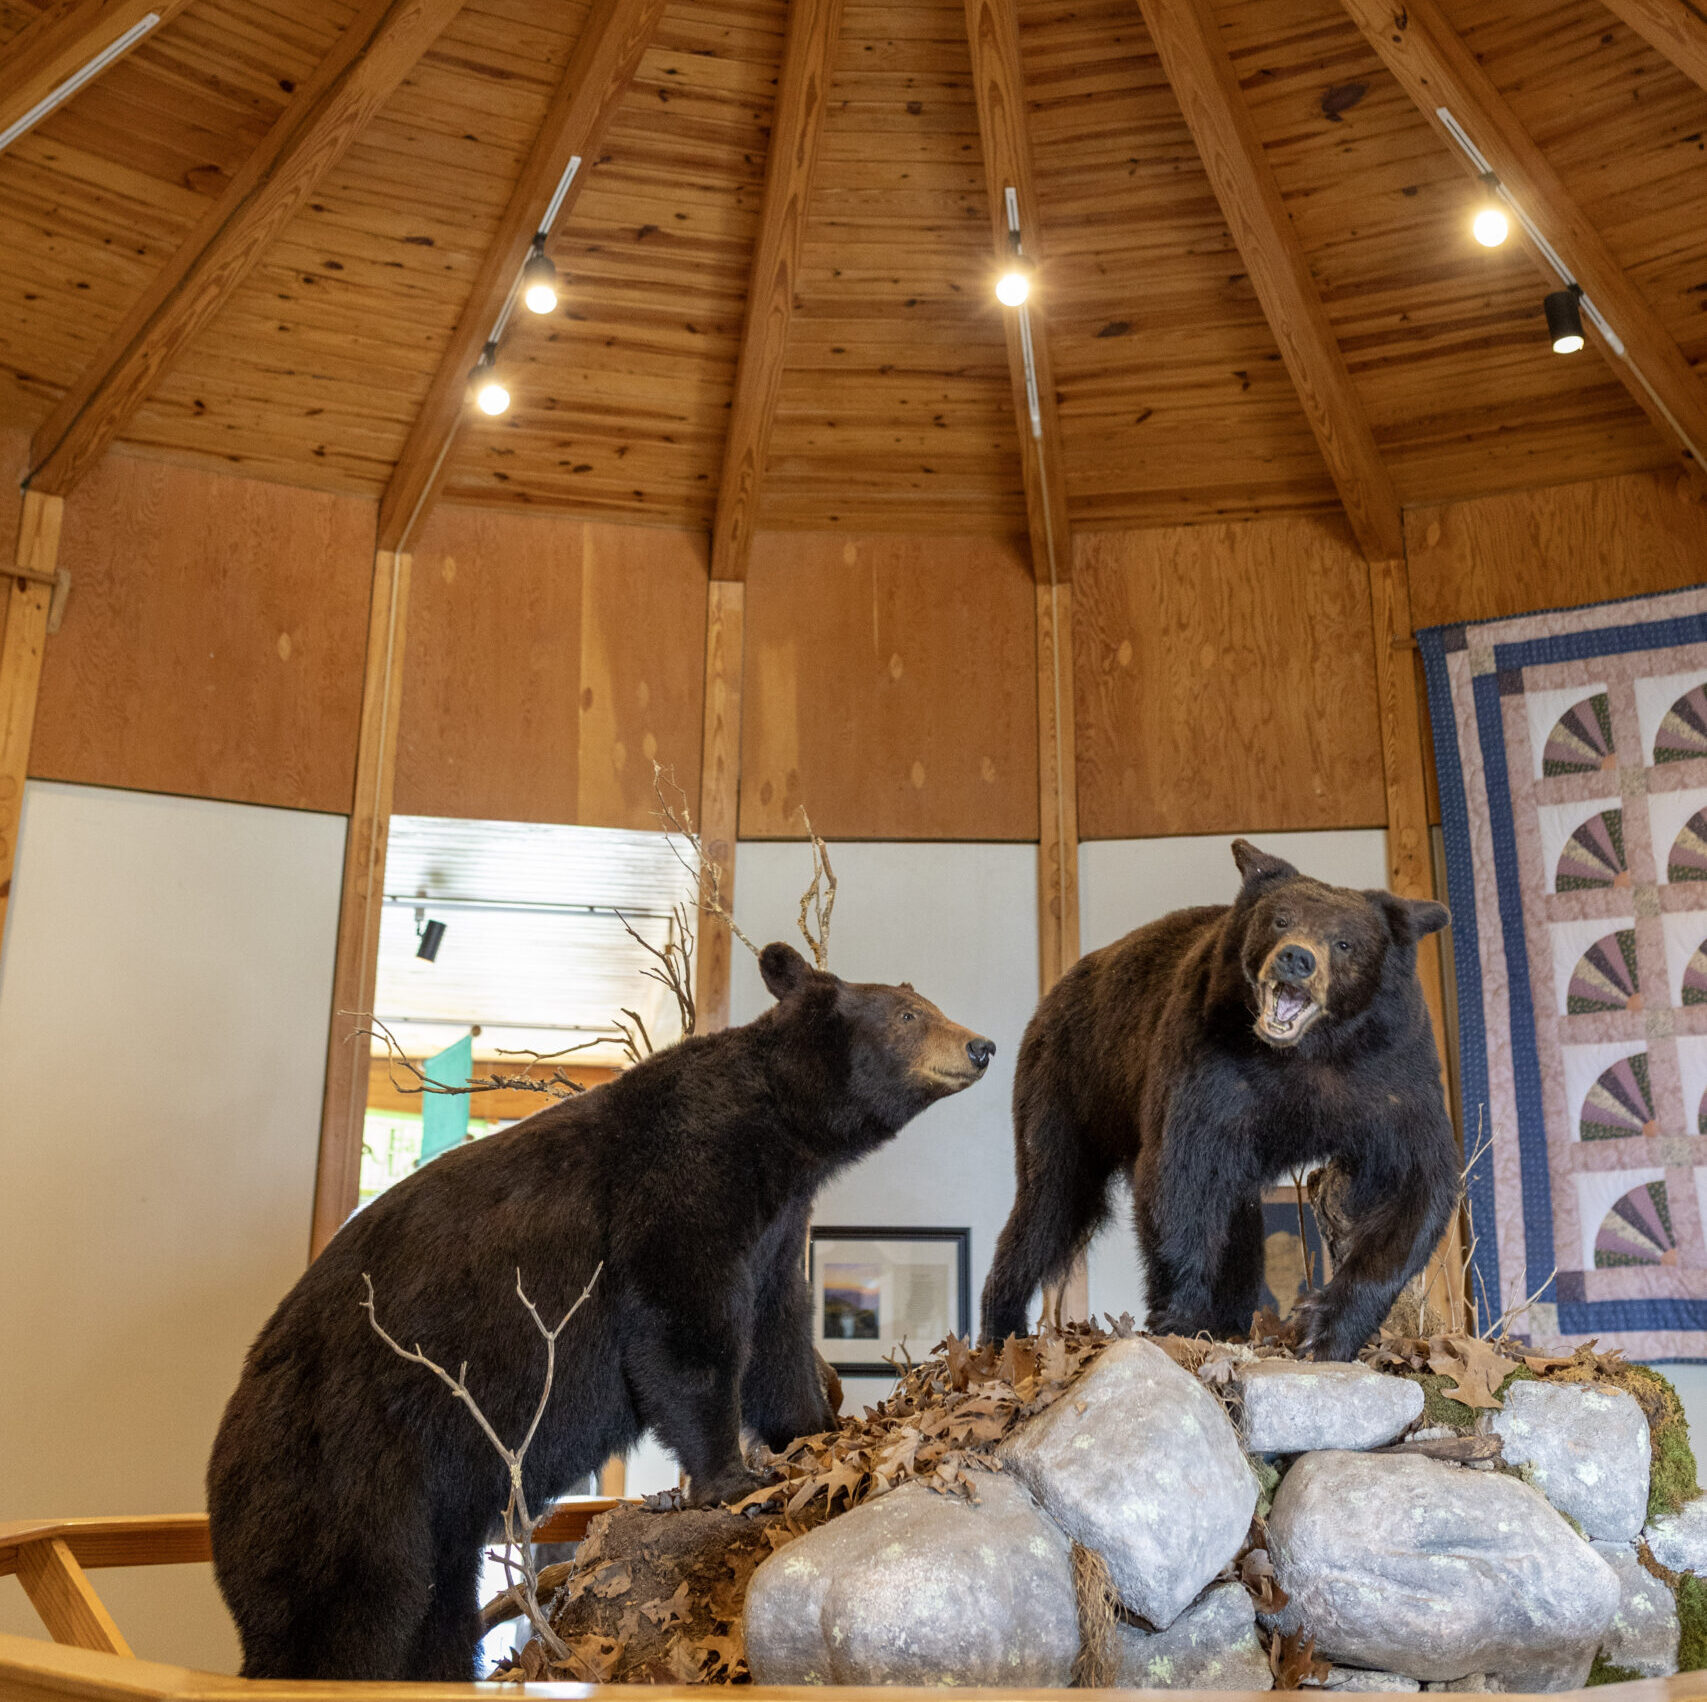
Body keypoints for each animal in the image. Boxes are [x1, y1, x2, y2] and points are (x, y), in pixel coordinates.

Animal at [207, 940, 994, 1681]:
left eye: (925, 1004)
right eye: (908, 1015)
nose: (980, 1045)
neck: (773, 1131)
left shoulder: (776, 1225)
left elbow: (777, 1332)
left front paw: (818, 1429)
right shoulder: (676, 1187)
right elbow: (685, 1329)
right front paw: (733, 1478)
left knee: (436, 1602)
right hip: (347, 1462)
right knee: (352, 1601)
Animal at [980, 839, 1458, 1363]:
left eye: (1345, 942)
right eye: (1280, 919)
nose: (1296, 958)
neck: (1309, 1052)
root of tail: (1054, 994)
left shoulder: (1391, 1078)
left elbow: (1416, 1187)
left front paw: (1327, 1331)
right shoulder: (1211, 1060)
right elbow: (1182, 1173)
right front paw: (1180, 1320)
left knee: (1237, 1223)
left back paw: (1233, 1319)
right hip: (1068, 1084)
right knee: (1050, 1201)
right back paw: (1001, 1327)